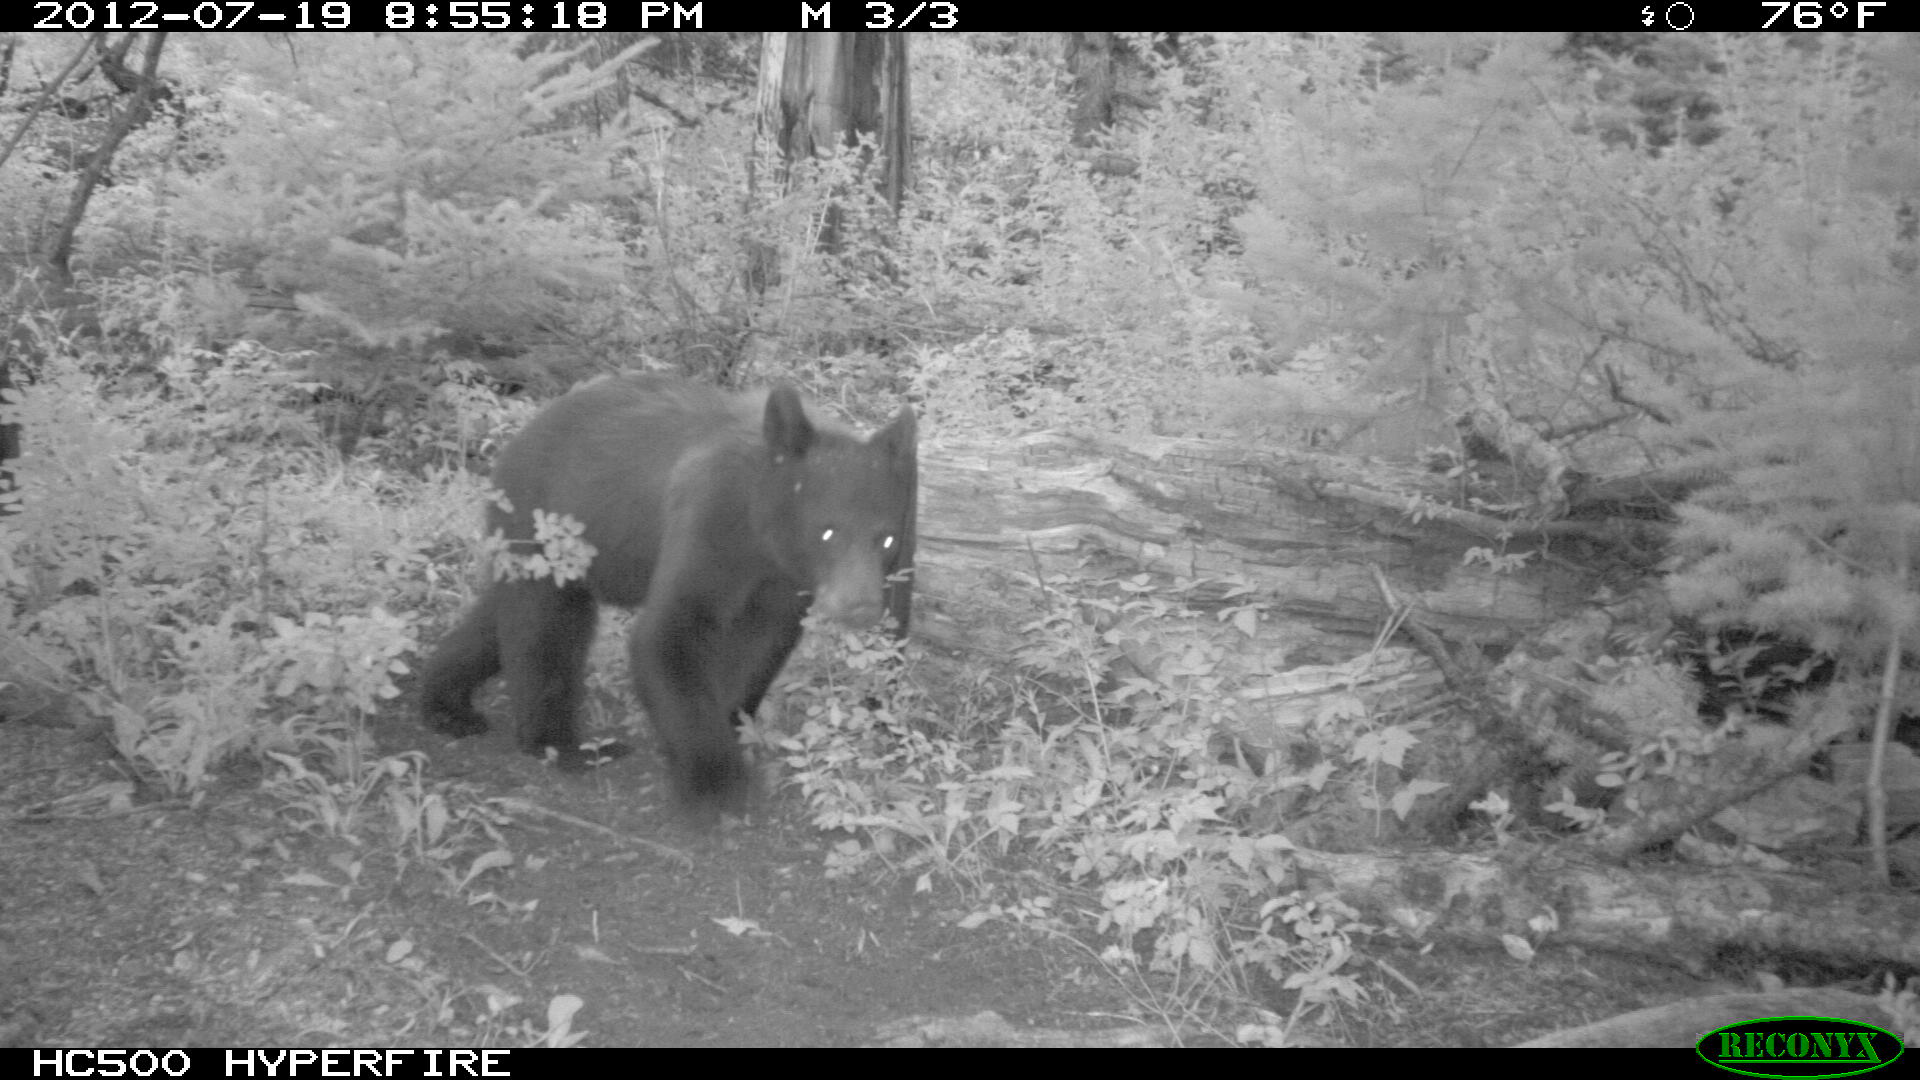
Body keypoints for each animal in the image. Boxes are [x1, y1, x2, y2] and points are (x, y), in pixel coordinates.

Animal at [420, 373, 918, 821]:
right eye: (827, 531)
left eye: (888, 539)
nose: (861, 606)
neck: (759, 533)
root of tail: (517, 437)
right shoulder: (709, 525)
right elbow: (670, 634)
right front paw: (716, 787)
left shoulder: (780, 585)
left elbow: (758, 648)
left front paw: (734, 726)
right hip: (546, 524)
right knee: (547, 625)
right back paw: (559, 743)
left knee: (497, 618)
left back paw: (446, 703)